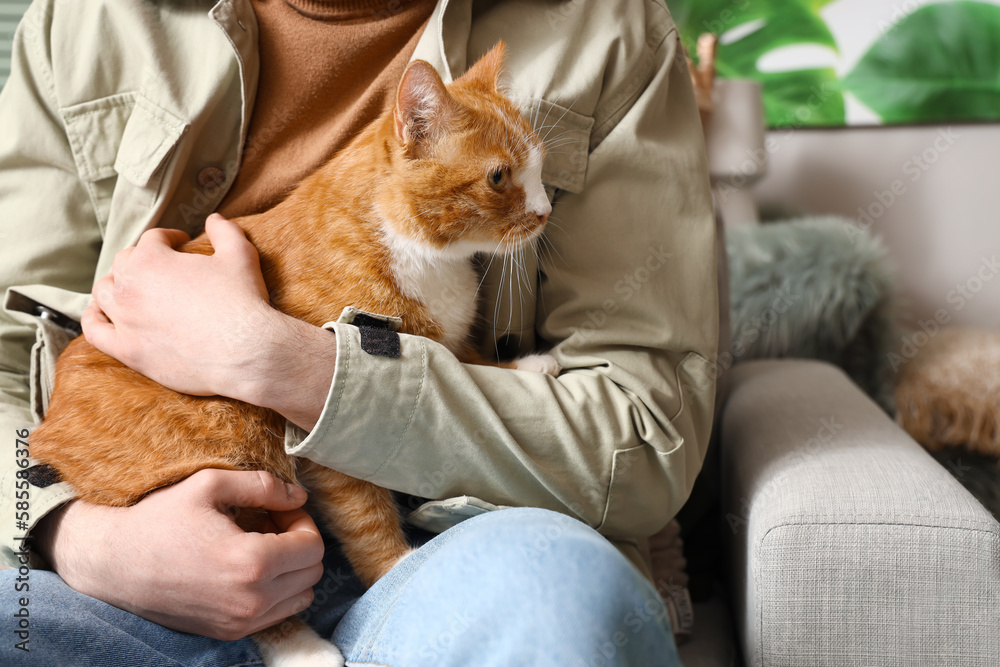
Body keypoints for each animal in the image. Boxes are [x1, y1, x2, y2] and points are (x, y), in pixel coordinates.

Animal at [31, 44, 560, 664]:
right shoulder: (321, 441)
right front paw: (397, 569)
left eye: (541, 167)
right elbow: (365, 518)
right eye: (499, 177)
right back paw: (300, 647)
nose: (546, 211)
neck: (429, 259)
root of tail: (48, 432)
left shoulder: (438, 345)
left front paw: (525, 365)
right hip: (226, 437)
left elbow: (462, 361)